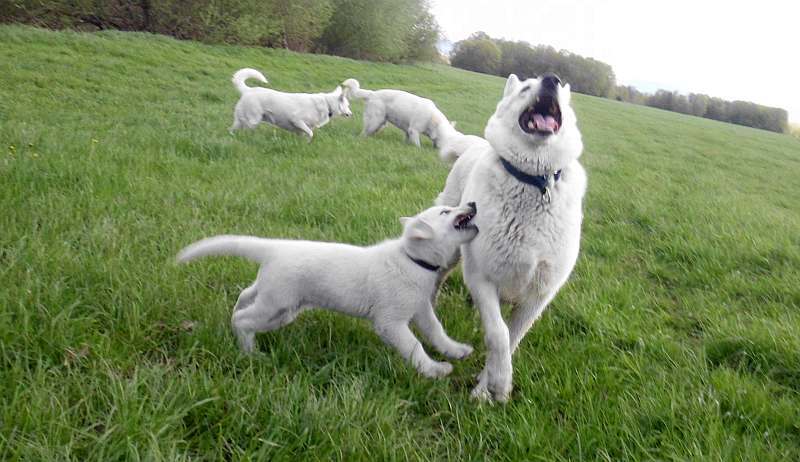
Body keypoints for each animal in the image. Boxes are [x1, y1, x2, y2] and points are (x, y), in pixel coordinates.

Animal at [178, 204, 478, 378]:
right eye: (445, 211)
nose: (472, 203)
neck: (412, 258)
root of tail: (275, 247)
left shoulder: (421, 309)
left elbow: (436, 331)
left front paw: (455, 350)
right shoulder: (390, 322)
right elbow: (415, 346)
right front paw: (433, 370)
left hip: (278, 305)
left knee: (244, 296)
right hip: (276, 305)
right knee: (242, 320)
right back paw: (249, 352)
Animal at [438, 72, 588, 400]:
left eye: (559, 86)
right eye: (526, 88)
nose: (552, 79)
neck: (535, 182)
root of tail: (476, 143)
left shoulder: (538, 295)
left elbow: (512, 337)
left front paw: (489, 388)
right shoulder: (482, 278)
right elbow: (499, 334)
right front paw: (498, 382)